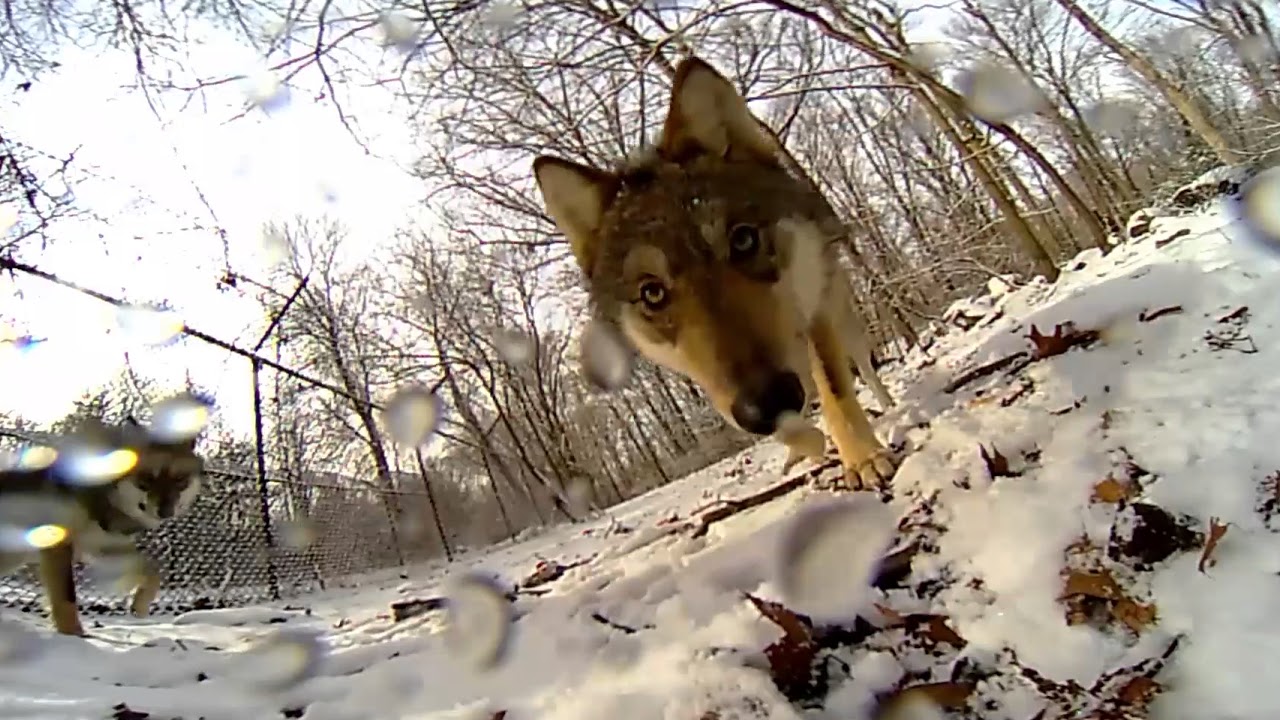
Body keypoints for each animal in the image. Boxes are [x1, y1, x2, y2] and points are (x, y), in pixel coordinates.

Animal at [0, 417, 205, 636]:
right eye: (147, 478)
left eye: (180, 480)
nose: (166, 512)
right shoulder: (58, 544)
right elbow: (67, 597)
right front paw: (74, 635)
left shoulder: (99, 547)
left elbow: (152, 567)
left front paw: (140, 604)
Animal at [533, 56, 899, 489]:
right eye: (652, 293)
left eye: (743, 240)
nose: (769, 402)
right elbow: (790, 422)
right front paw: (806, 445)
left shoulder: (813, 315)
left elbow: (833, 389)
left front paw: (862, 458)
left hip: (840, 309)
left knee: (863, 365)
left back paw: (887, 406)